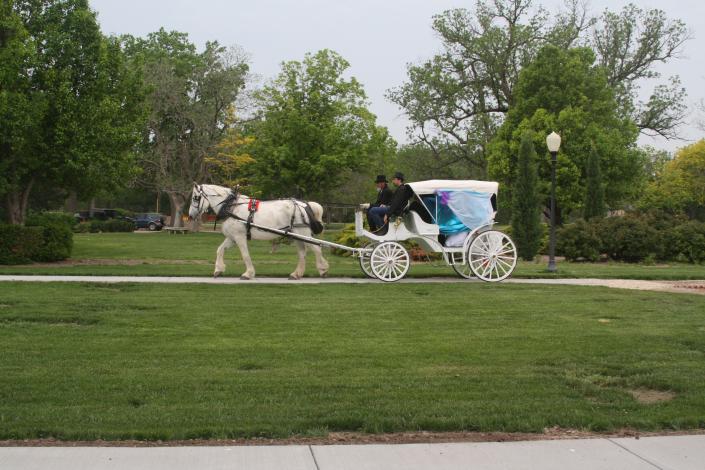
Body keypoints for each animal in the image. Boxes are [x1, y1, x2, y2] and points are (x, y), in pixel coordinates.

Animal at [187, 184, 330, 280]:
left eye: (195, 198)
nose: (190, 215)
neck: (231, 207)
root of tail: (304, 205)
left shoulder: (239, 237)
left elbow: (245, 255)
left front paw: (248, 274)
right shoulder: (232, 238)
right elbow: (220, 250)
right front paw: (218, 269)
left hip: (303, 233)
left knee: (316, 248)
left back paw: (323, 270)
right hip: (297, 235)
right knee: (302, 253)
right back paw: (296, 274)